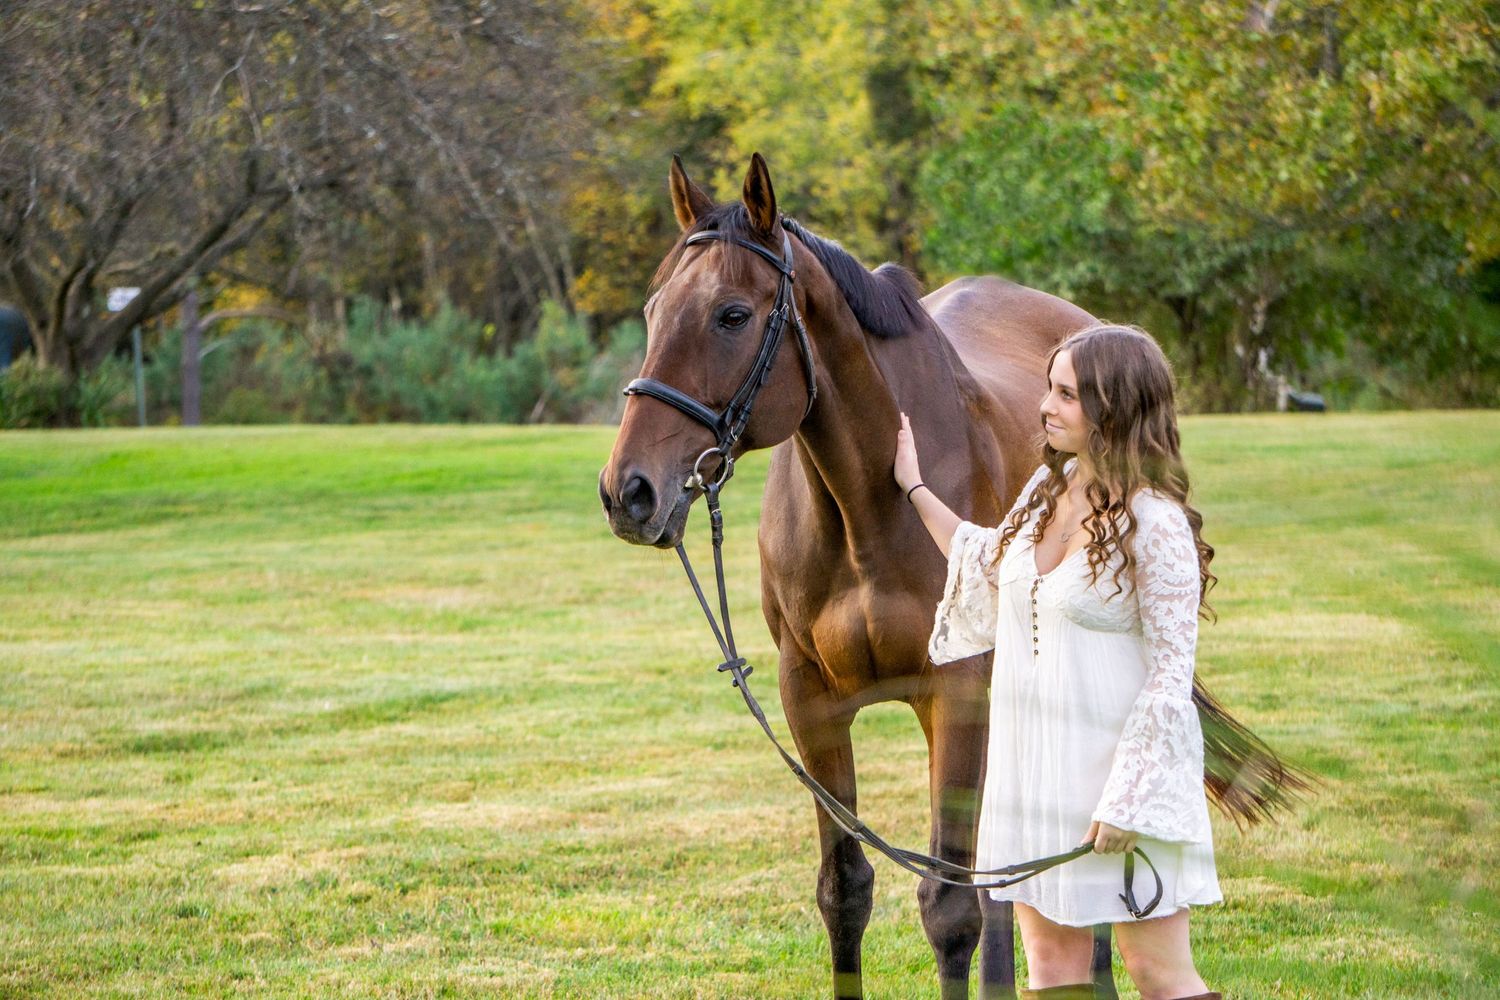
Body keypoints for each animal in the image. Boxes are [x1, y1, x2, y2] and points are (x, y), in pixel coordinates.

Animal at [599, 154, 1298, 999]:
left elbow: (952, 905)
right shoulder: (811, 701)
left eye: (731, 315)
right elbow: (846, 892)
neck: (864, 507)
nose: (629, 491)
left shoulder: (955, 694)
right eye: (653, 309)